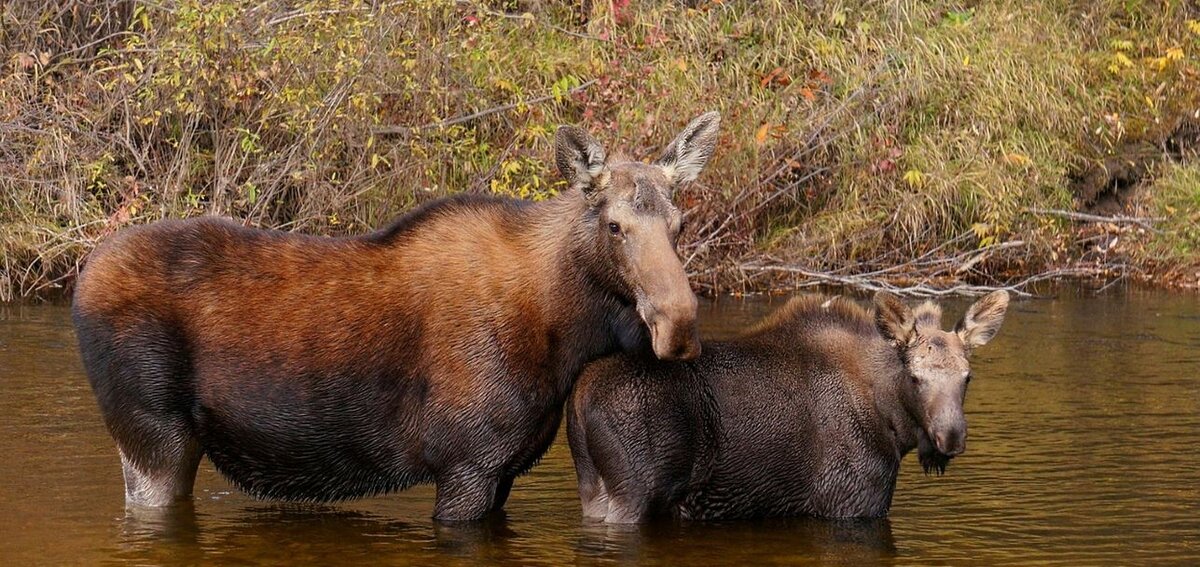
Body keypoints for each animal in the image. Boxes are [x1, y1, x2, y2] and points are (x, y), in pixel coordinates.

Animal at [72, 108, 720, 521]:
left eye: (679, 223)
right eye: (614, 225)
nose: (678, 325)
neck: (564, 332)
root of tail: (83, 276)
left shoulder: (505, 469)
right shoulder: (467, 463)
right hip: (152, 435)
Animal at [566, 291, 1008, 523]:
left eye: (967, 377)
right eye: (915, 377)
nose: (950, 436)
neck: (892, 426)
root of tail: (580, 401)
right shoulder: (851, 503)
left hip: (594, 490)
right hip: (634, 494)